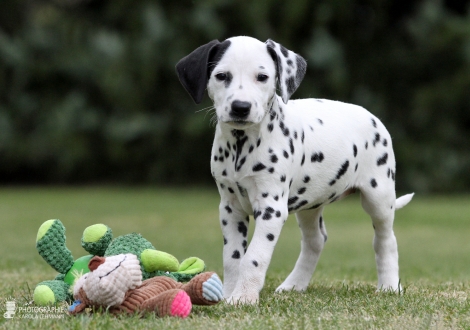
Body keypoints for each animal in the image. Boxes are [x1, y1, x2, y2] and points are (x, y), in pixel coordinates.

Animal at [174, 36, 414, 304]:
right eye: (221, 75)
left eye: (262, 77)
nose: (240, 107)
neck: (242, 144)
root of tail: (373, 118)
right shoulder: (230, 208)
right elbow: (233, 257)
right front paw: (228, 294)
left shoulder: (271, 208)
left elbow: (254, 257)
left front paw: (244, 297)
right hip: (310, 203)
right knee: (315, 240)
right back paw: (294, 284)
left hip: (378, 197)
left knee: (385, 240)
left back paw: (389, 285)